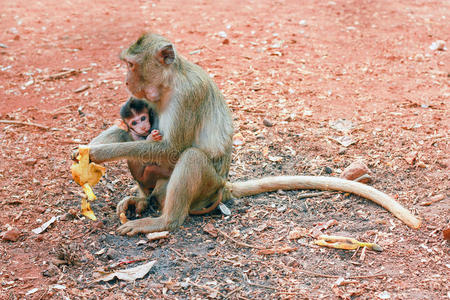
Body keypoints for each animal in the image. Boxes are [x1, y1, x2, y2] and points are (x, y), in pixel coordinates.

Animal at [85, 32, 422, 234]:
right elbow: (134, 135)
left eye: (131, 65)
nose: (126, 81)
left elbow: (172, 149)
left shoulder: (188, 95)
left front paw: (99, 153)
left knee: (191, 158)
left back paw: (164, 222)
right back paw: (142, 199)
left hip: (206, 187)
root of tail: (223, 186)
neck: (169, 83)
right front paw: (90, 148)